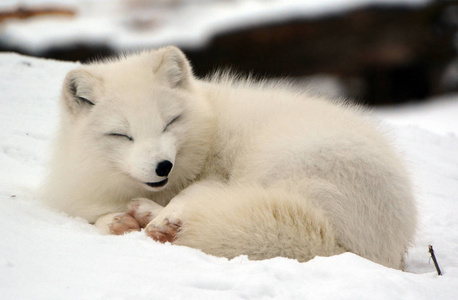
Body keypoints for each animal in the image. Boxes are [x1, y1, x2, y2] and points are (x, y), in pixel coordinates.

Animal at [41, 46, 416, 270]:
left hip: (275, 159)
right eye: (122, 134)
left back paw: (155, 217)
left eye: (169, 122)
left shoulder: (214, 178)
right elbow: (95, 217)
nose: (164, 166)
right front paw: (116, 221)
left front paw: (162, 214)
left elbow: (190, 194)